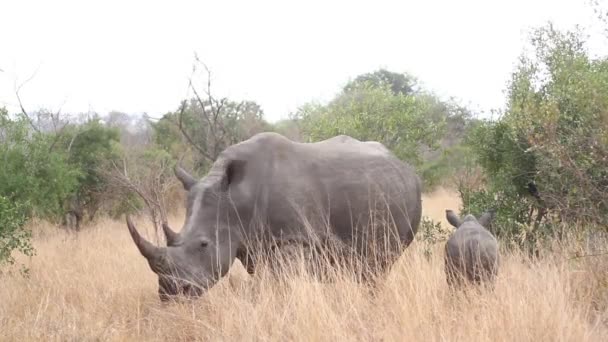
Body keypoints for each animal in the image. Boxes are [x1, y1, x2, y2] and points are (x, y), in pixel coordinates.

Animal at [127, 132, 422, 300]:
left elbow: (284, 284)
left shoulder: (293, 238)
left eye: (203, 244)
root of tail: (404, 165)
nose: (170, 293)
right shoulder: (252, 244)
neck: (237, 198)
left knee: (379, 264)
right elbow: (264, 283)